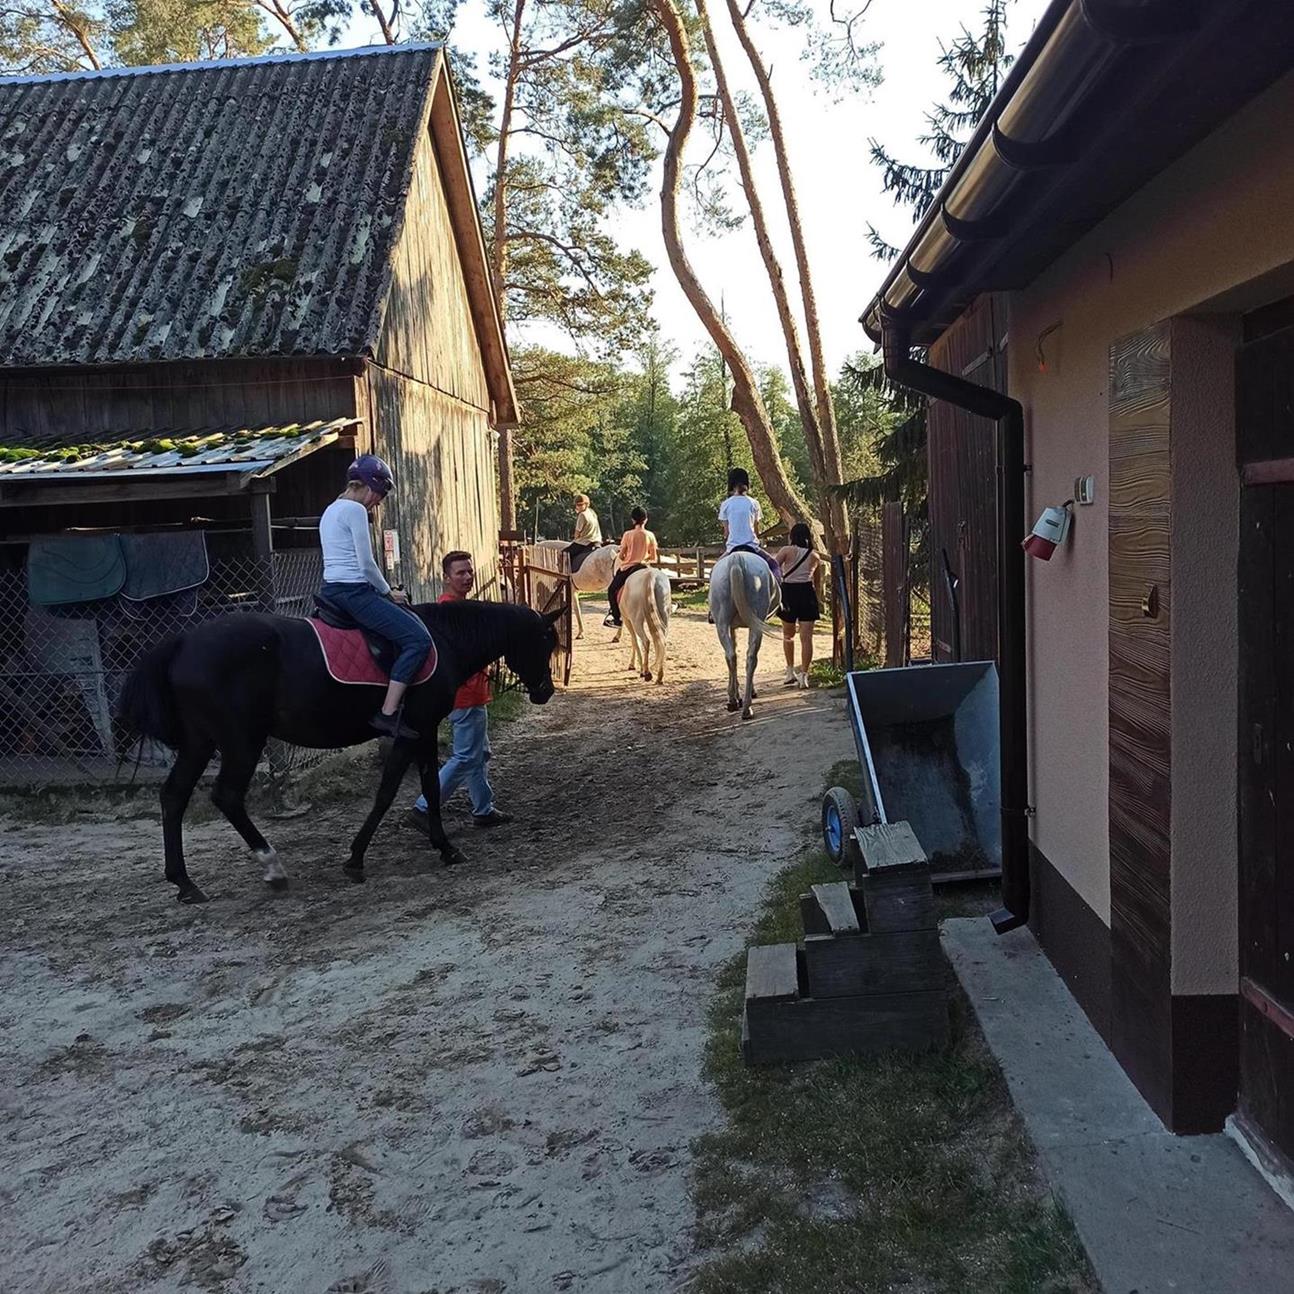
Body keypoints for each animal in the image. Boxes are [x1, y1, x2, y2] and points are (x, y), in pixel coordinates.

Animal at [116, 600, 562, 903]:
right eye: (544, 641)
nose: (545, 691)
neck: (443, 639)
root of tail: (182, 641)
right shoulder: (414, 731)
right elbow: (389, 792)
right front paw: (360, 858)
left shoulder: (421, 733)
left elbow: (430, 788)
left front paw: (442, 846)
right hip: (241, 741)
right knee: (226, 796)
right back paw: (272, 868)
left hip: (200, 742)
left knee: (173, 796)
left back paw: (185, 882)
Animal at [708, 551, 781, 720]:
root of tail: (737, 558)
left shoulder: (731, 627)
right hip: (751, 625)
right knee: (748, 657)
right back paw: (744, 705)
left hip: (723, 625)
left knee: (733, 656)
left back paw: (736, 702)